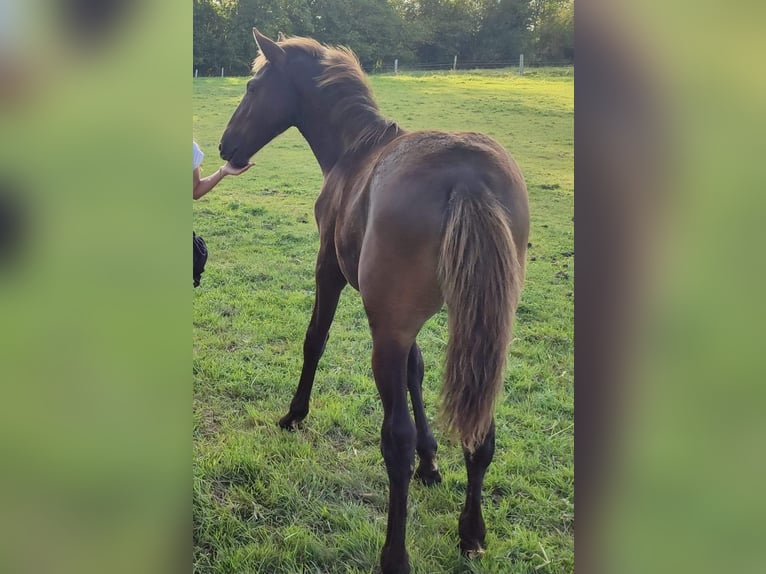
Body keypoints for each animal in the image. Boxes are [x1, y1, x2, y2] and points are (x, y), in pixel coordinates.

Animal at [219, 29, 532, 572]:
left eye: (252, 86)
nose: (225, 146)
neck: (354, 153)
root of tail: (467, 178)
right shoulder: (410, 322)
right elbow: (418, 371)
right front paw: (433, 462)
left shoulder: (331, 273)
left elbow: (315, 340)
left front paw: (294, 415)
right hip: (479, 330)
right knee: (482, 430)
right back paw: (471, 532)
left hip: (386, 331)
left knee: (395, 441)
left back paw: (395, 554)